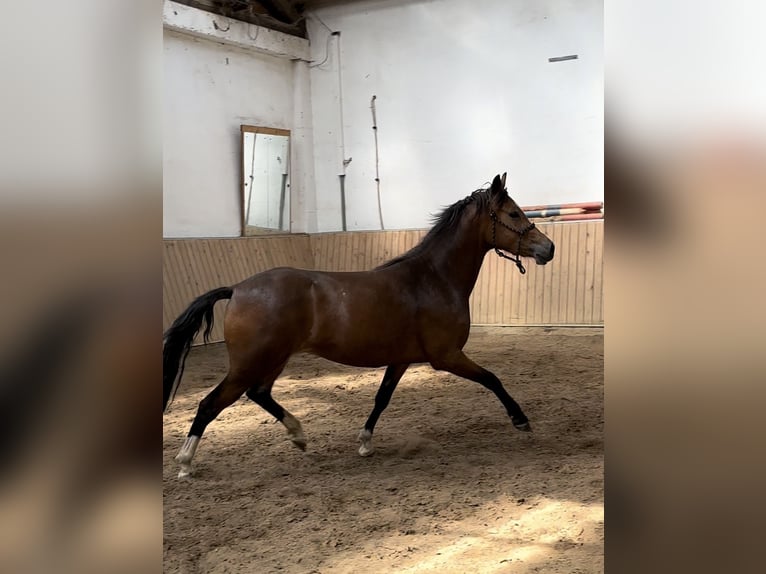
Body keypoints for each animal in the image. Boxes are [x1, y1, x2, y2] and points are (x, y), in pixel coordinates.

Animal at [165, 173, 556, 480]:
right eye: (513, 213)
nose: (548, 248)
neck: (434, 279)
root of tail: (238, 288)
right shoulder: (446, 356)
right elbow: (492, 379)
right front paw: (521, 420)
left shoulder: (401, 360)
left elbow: (382, 398)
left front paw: (365, 443)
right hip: (249, 363)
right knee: (210, 403)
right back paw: (185, 462)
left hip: (273, 359)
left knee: (259, 393)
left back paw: (298, 434)